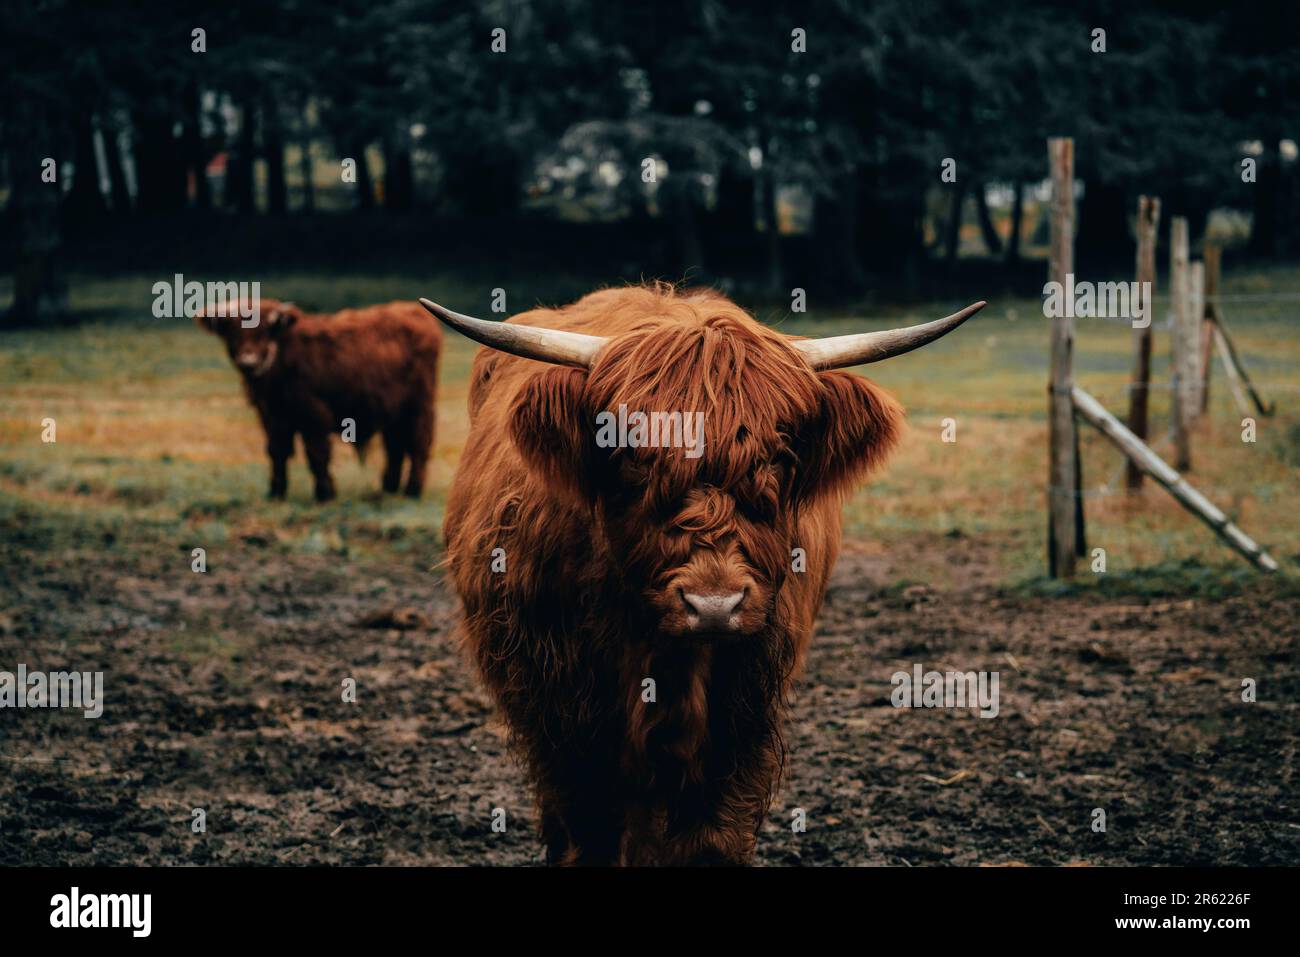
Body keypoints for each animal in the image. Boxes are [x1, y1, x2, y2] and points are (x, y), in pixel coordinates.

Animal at [198, 298, 442, 502]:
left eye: (263, 331)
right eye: (232, 331)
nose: (248, 361)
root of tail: (413, 311)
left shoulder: (313, 414)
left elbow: (316, 453)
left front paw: (325, 493)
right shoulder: (271, 416)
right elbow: (276, 451)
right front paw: (276, 492)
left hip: (419, 407)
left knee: (418, 444)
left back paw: (412, 490)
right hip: (393, 411)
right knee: (395, 446)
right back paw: (388, 487)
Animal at [422, 284, 983, 865]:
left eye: (778, 457)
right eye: (633, 458)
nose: (714, 606)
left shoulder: (744, 709)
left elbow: (709, 837)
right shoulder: (562, 709)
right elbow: (591, 828)